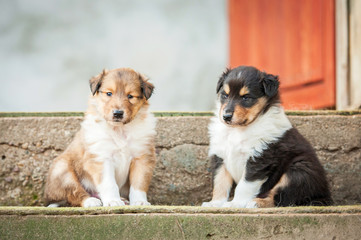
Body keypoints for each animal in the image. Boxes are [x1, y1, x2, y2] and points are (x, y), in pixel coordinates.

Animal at [44, 67, 156, 206]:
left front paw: (140, 202)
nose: (118, 113)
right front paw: (113, 201)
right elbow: (109, 184)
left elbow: (138, 184)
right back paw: (91, 201)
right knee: (75, 193)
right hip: (62, 170)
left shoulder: (141, 157)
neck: (119, 129)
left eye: (130, 96)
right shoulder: (101, 158)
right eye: (109, 93)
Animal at [201, 65, 330, 208]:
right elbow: (220, 182)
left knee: (281, 198)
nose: (226, 116)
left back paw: (257, 202)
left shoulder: (259, 158)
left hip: (299, 171)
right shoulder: (220, 156)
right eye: (225, 95)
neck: (238, 129)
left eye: (246, 97)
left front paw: (235, 204)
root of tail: (325, 195)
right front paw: (215, 203)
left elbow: (244, 185)